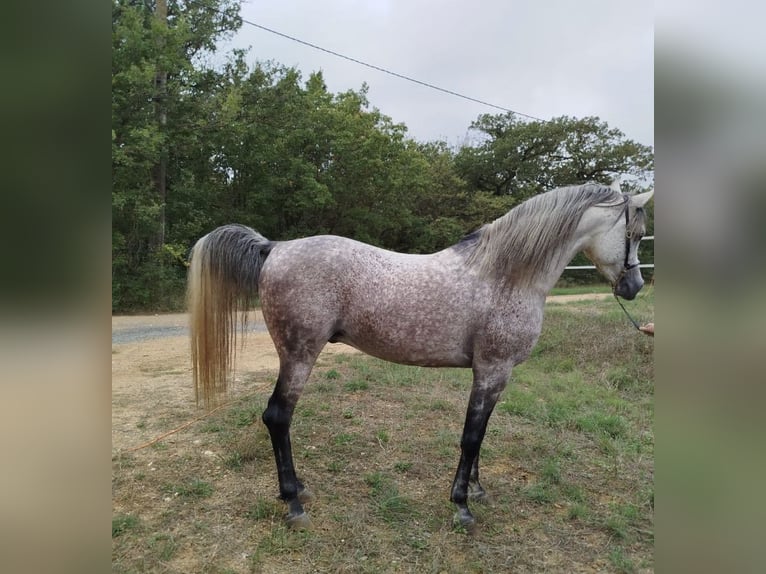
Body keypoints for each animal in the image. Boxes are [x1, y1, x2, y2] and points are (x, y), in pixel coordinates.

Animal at [186, 182, 656, 528]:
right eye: (634, 235)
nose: (634, 287)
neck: (505, 275)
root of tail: (275, 247)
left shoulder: (496, 376)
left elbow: (482, 433)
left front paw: (477, 489)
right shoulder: (492, 370)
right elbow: (470, 436)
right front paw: (462, 505)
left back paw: (299, 489)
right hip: (299, 355)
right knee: (278, 417)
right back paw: (293, 503)